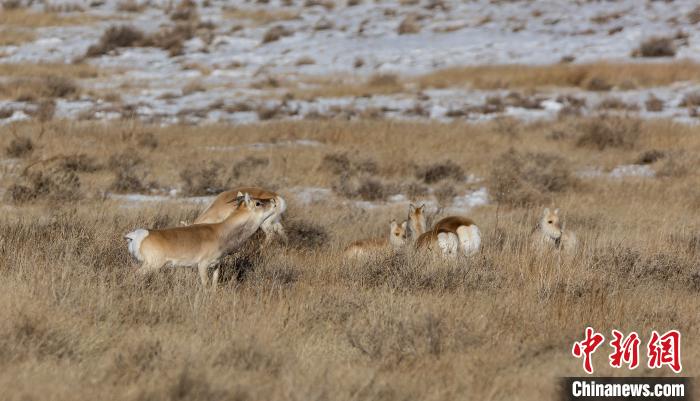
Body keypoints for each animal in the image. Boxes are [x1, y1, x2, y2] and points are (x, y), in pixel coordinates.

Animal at [126, 192, 276, 286]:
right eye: (257, 203)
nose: (273, 201)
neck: (220, 231)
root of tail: (137, 235)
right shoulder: (202, 266)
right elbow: (206, 285)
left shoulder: (216, 266)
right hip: (150, 265)